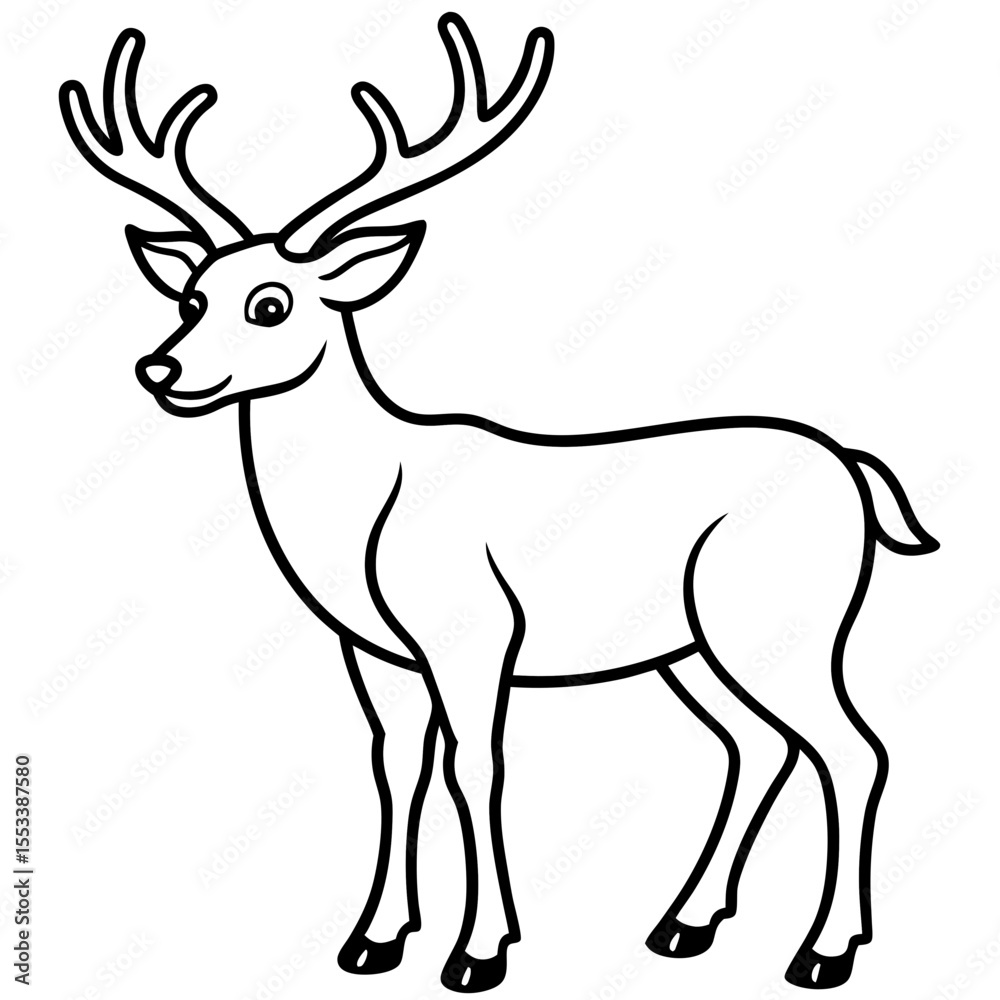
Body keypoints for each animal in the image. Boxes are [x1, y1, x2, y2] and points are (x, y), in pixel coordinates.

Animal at [61, 13, 939, 992]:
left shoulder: (475, 631)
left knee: (855, 749)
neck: (370, 510)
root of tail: (855, 471)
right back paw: (684, 925)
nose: (160, 368)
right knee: (758, 748)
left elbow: (475, 768)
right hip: (693, 646)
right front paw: (374, 940)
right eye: (191, 294)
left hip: (783, 617)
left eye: (271, 304)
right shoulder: (376, 652)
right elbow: (396, 768)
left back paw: (823, 951)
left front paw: (480, 950)